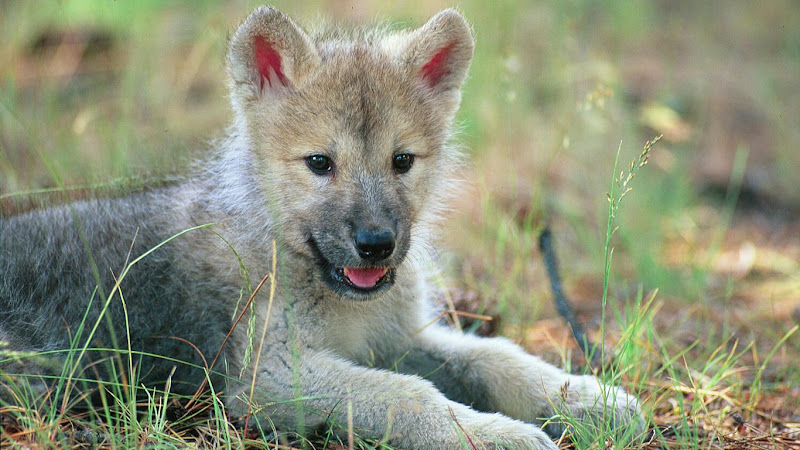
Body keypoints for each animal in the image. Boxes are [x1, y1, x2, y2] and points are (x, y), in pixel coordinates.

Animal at [0, 6, 643, 449]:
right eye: (319, 163)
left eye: (402, 161)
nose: (376, 245)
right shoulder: (269, 375)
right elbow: (409, 396)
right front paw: (492, 435)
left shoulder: (400, 338)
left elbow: (496, 357)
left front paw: (585, 397)